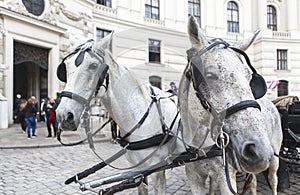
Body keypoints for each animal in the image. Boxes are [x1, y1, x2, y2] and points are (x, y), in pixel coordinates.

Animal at [179, 16, 282, 193]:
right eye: (209, 75)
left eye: (249, 76)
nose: (258, 149)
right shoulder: (194, 177)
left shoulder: (225, 178)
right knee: (253, 181)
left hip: (274, 156)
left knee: (273, 179)